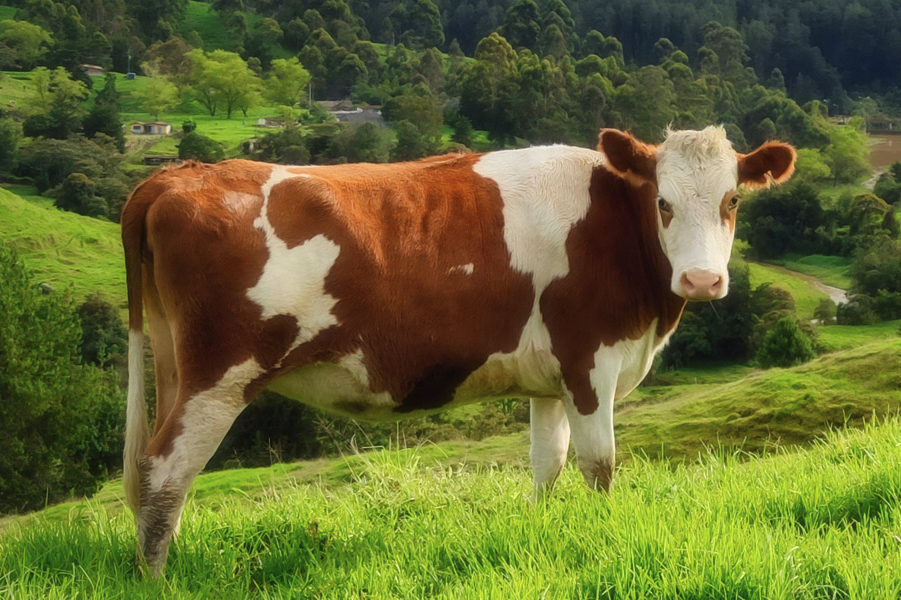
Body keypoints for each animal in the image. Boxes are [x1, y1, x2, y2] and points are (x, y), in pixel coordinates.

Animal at [121, 126, 796, 576]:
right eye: (663, 202)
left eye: (733, 200)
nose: (702, 280)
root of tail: (180, 174)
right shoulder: (590, 363)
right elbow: (599, 467)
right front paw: (605, 535)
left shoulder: (550, 380)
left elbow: (547, 464)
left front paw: (541, 531)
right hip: (219, 375)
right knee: (164, 472)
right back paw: (159, 579)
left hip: (174, 364)